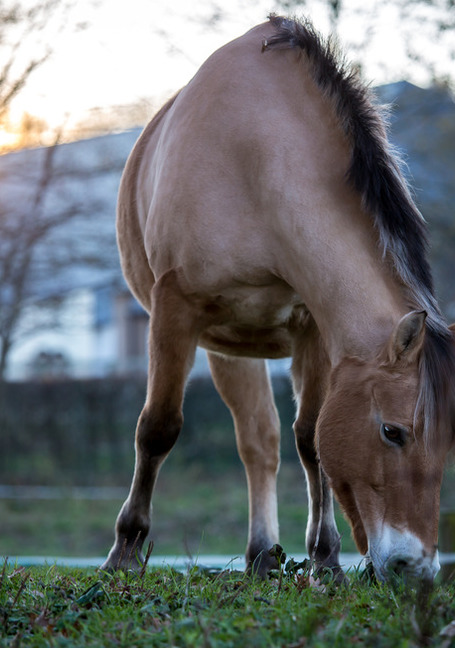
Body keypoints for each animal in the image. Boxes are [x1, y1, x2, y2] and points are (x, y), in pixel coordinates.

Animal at [103, 13, 455, 584]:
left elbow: (310, 439)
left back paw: (265, 556)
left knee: (263, 443)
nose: (416, 568)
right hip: (223, 345)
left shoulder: (313, 327)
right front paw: (126, 551)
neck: (255, 157)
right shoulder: (176, 310)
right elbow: (157, 428)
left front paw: (326, 560)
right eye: (392, 432)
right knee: (253, 443)